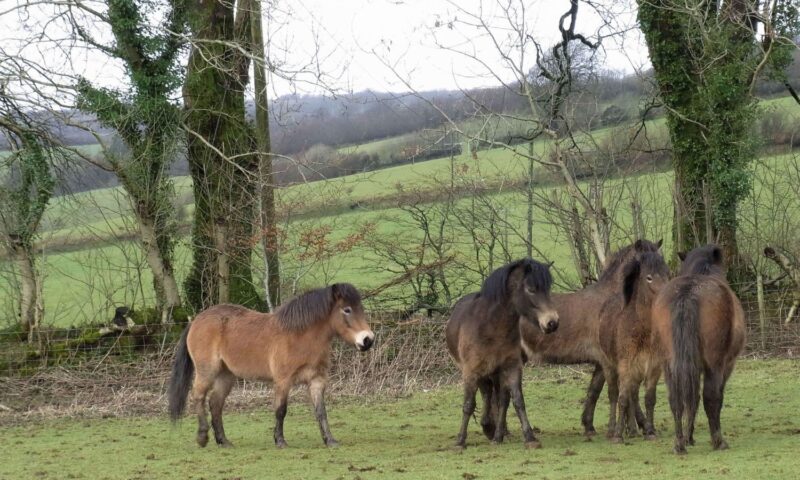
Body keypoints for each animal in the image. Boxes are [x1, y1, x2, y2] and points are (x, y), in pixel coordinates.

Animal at [169, 284, 376, 448]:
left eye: (360, 308)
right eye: (347, 310)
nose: (368, 340)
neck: (300, 336)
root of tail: (196, 320)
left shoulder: (317, 381)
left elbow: (321, 411)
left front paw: (330, 440)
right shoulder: (283, 381)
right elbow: (281, 410)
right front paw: (280, 441)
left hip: (226, 375)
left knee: (215, 403)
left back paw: (223, 441)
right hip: (207, 372)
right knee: (198, 396)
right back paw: (202, 437)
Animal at [446, 258, 560, 450]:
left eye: (548, 289)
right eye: (531, 289)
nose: (552, 322)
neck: (491, 326)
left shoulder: (512, 367)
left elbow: (517, 401)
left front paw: (530, 438)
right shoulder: (471, 371)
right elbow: (469, 404)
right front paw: (460, 441)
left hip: (497, 373)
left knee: (500, 399)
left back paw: (498, 433)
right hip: (483, 373)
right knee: (487, 395)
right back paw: (489, 428)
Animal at [520, 239, 664, 436]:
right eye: (644, 263)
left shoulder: (603, 361)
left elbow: (595, 391)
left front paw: (589, 424)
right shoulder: (607, 360)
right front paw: (635, 427)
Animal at [596, 251, 672, 442]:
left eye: (667, 274)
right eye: (649, 277)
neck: (643, 330)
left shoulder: (653, 366)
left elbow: (649, 398)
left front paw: (650, 431)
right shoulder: (625, 365)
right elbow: (621, 398)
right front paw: (617, 435)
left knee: (633, 394)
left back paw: (632, 429)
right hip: (609, 366)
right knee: (614, 394)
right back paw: (612, 429)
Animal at [652, 248, 748, 454]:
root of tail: (688, 293)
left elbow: (692, 399)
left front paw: (689, 437)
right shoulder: (726, 366)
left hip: (669, 364)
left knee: (677, 399)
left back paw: (679, 443)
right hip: (714, 364)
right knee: (710, 397)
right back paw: (718, 441)